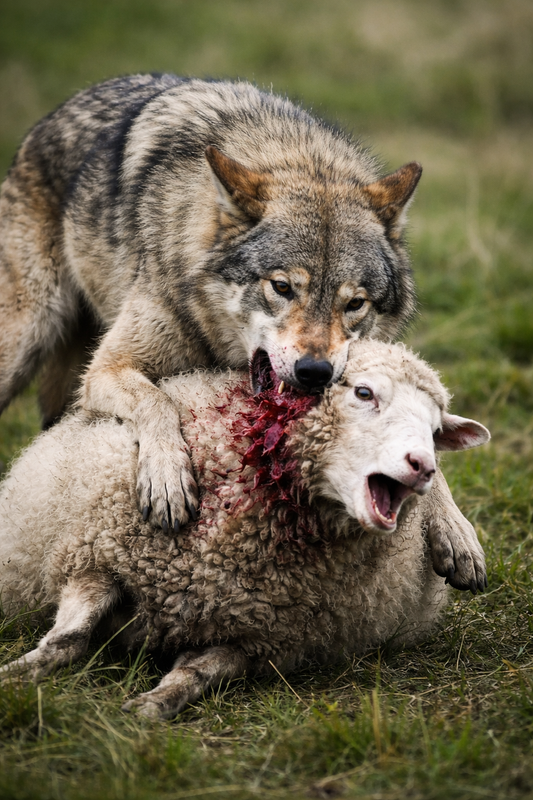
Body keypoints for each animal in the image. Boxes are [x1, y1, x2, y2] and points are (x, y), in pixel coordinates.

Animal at [0, 74, 424, 541]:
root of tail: (51, 118)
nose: (314, 372)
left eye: (354, 303)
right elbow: (159, 403)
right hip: (23, 342)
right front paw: (167, 481)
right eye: (281, 287)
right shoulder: (106, 369)